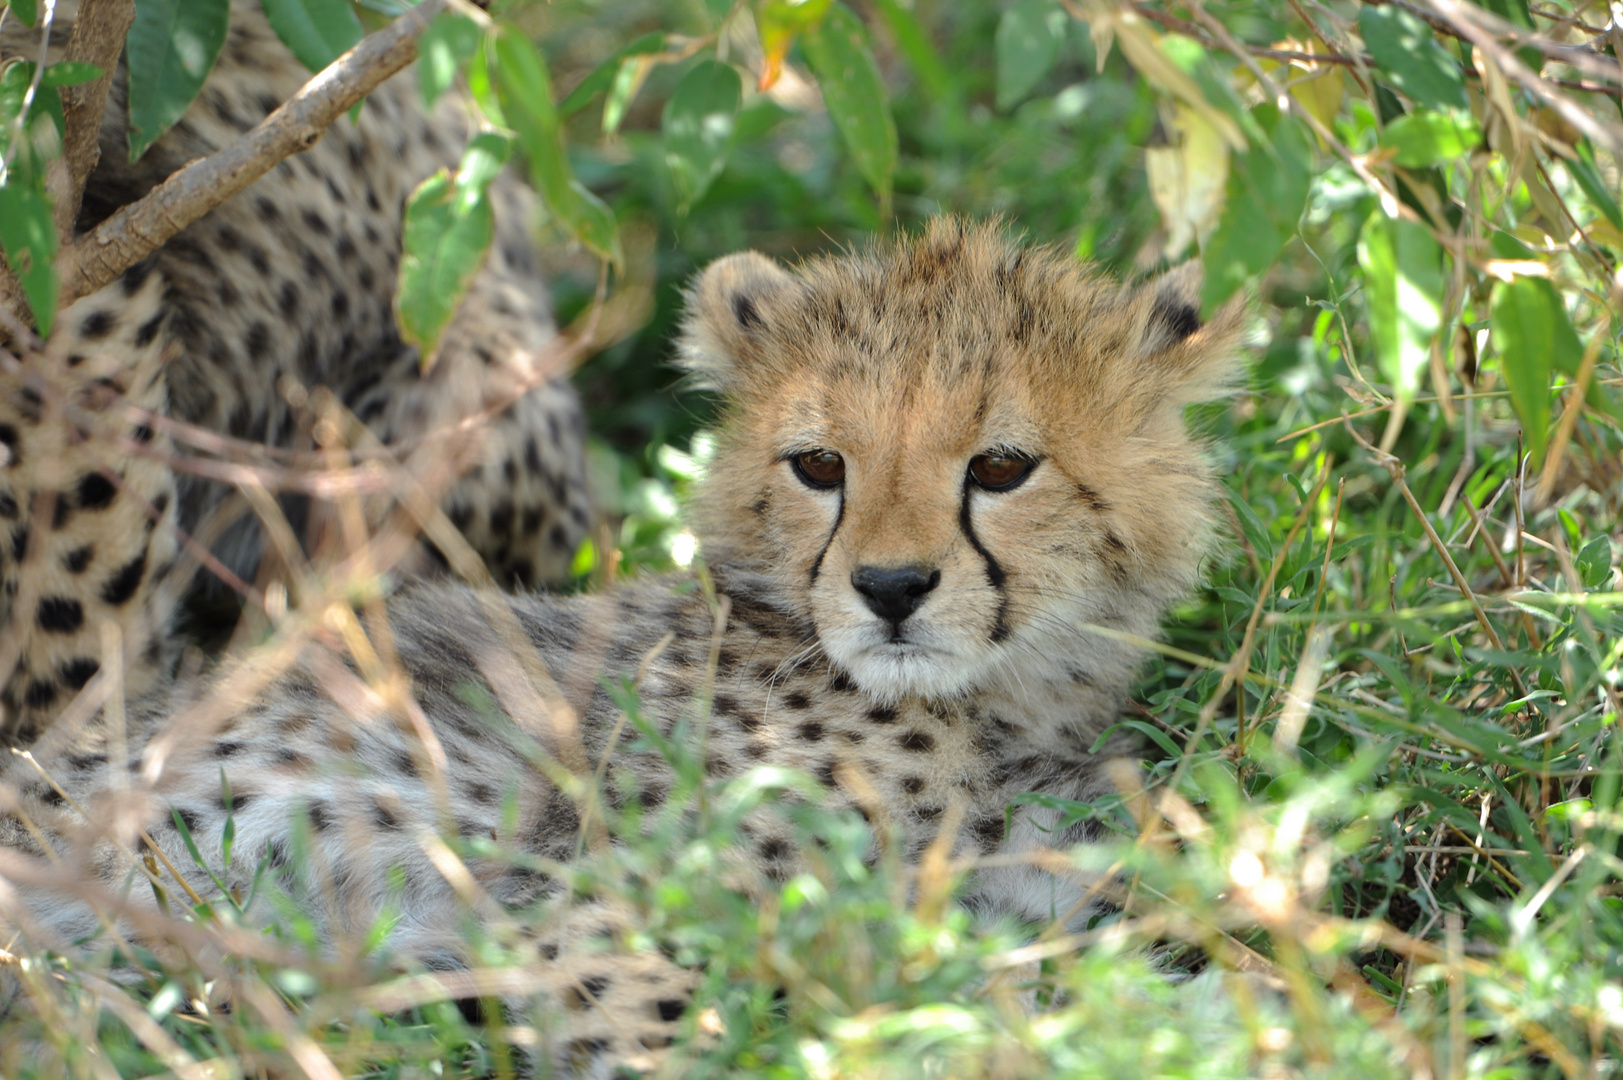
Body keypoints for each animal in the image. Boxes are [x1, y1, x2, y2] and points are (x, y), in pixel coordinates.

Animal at [0, 219, 1246, 1071]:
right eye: (819, 465)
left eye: (1000, 467)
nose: (890, 589)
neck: (998, 709)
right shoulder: (602, 920)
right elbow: (660, 1031)